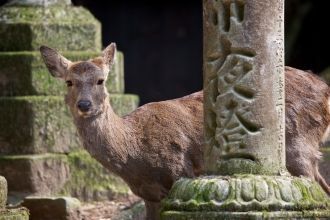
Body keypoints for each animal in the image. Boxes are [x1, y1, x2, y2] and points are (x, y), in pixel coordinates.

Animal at [39, 43, 330, 220]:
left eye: (101, 80)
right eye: (69, 82)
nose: (84, 105)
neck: (136, 153)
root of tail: (325, 89)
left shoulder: (181, 172)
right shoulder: (149, 195)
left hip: (298, 145)